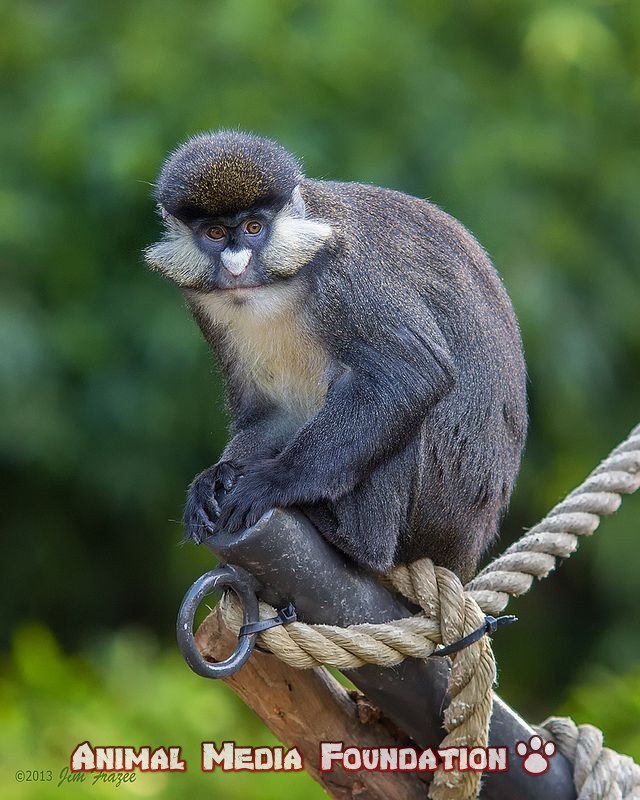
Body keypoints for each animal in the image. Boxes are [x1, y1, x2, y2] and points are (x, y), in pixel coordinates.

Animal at [144, 130, 527, 582]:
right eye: (216, 234)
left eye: (254, 227)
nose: (236, 265)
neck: (287, 279)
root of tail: (466, 548)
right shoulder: (205, 308)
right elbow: (273, 410)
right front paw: (214, 479)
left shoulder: (345, 275)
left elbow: (416, 373)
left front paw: (278, 480)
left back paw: (356, 541)